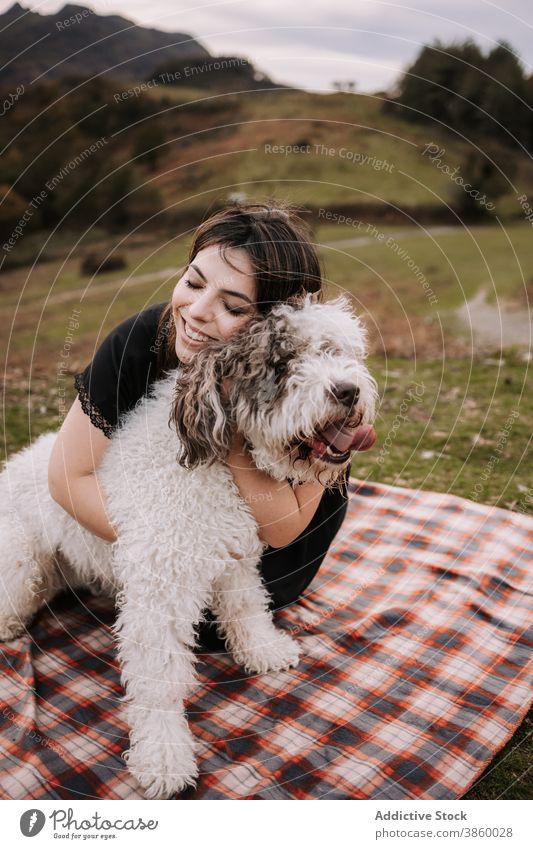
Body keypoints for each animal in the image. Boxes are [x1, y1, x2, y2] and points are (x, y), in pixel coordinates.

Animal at [0, 292, 378, 796]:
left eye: (333, 351)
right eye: (281, 362)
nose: (348, 391)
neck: (214, 459)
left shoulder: (234, 555)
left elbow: (247, 607)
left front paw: (262, 650)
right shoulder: (160, 588)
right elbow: (160, 681)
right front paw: (163, 758)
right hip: (21, 561)